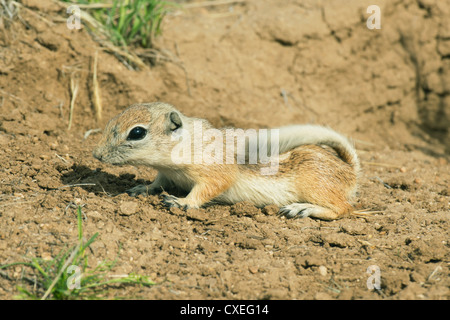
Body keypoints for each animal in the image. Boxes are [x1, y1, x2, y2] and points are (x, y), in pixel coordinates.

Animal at [93, 102, 360, 220]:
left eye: (137, 132)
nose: (97, 154)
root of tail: (350, 169)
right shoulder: (165, 173)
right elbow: (157, 183)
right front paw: (142, 188)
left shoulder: (214, 172)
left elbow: (208, 188)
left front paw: (182, 202)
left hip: (316, 186)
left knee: (344, 209)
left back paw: (302, 208)